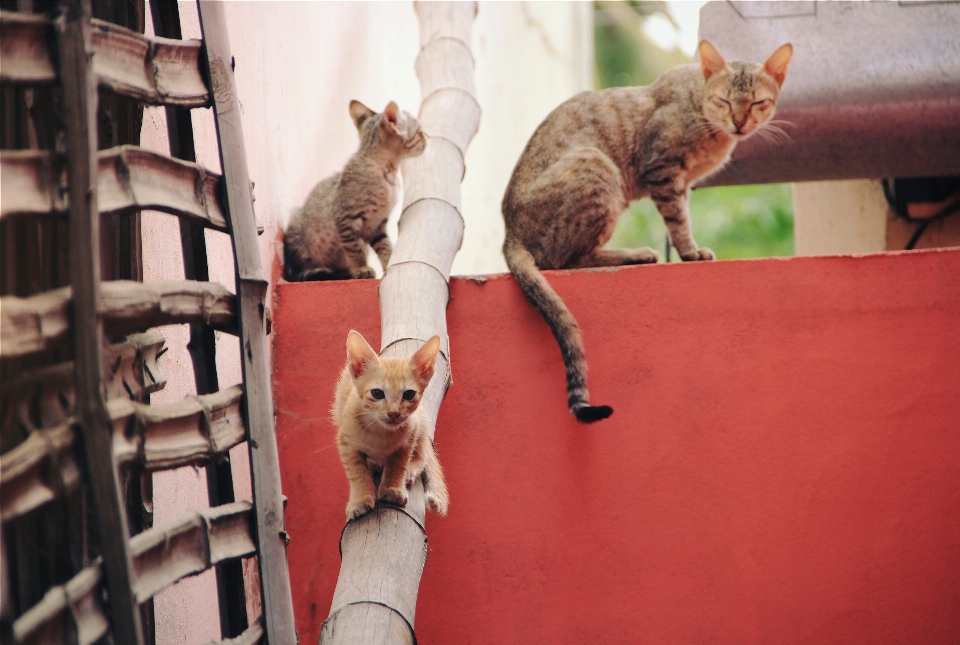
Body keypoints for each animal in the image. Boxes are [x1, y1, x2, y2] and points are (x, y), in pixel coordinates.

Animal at [284, 100, 428, 280]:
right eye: (419, 131)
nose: (427, 138)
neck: (390, 174)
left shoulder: (377, 225)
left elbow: (385, 246)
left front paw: (389, 264)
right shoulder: (346, 218)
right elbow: (354, 249)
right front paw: (361, 268)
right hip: (296, 229)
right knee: (301, 269)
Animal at [332, 332, 448, 520]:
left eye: (409, 394)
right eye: (377, 393)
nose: (394, 413)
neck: (380, 432)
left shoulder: (410, 434)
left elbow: (398, 464)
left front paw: (392, 489)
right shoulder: (346, 442)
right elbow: (356, 472)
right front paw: (360, 499)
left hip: (421, 422)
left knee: (422, 454)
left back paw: (410, 470)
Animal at [502, 40, 796, 422]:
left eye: (758, 102)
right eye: (725, 100)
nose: (739, 123)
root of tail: (510, 232)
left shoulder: (683, 183)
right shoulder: (663, 172)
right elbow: (679, 221)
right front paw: (690, 252)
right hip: (597, 169)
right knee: (564, 259)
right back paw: (634, 254)